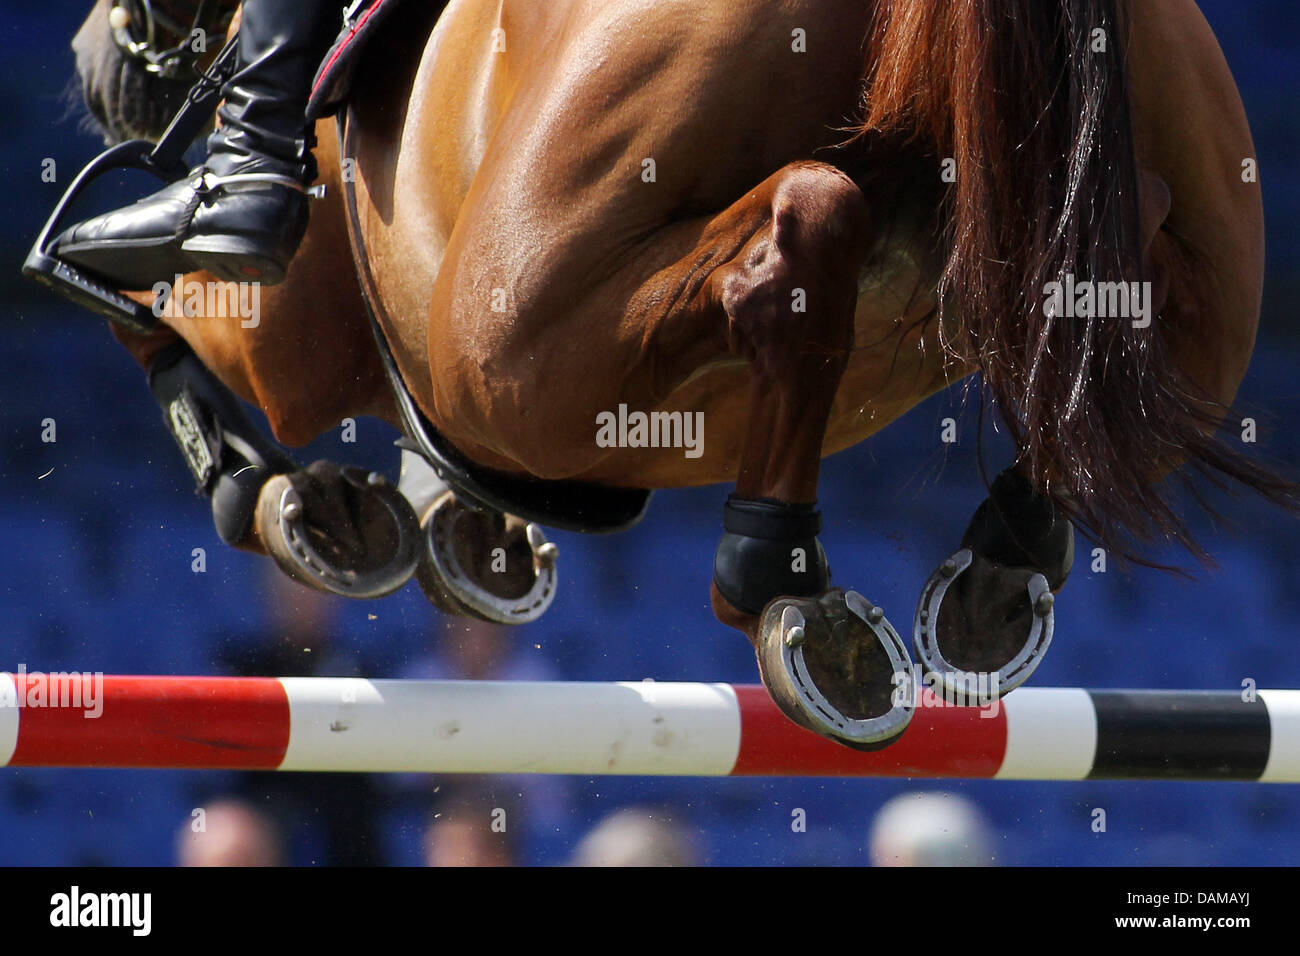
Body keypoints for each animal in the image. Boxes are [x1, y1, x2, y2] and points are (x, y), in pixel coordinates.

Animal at [61, 0, 1289, 749]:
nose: (93, 61)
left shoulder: (296, 331)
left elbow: (145, 319)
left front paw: (293, 495)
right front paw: (465, 531)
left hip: (501, 332)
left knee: (809, 224)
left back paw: (787, 586)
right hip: (1206, 214)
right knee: (1113, 297)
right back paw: (988, 577)